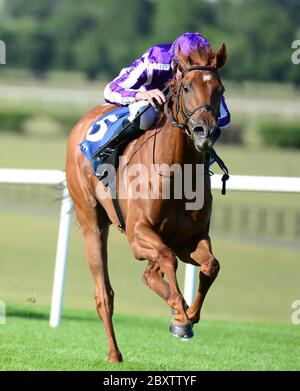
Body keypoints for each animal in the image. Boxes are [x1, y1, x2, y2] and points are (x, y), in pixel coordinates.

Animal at [66, 43, 227, 364]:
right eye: (186, 87)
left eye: (220, 89)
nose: (206, 132)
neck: (176, 174)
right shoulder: (138, 234)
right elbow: (166, 259)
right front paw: (180, 316)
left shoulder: (190, 238)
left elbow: (210, 266)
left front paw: (187, 315)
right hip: (92, 221)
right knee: (104, 293)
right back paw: (114, 353)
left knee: (152, 272)